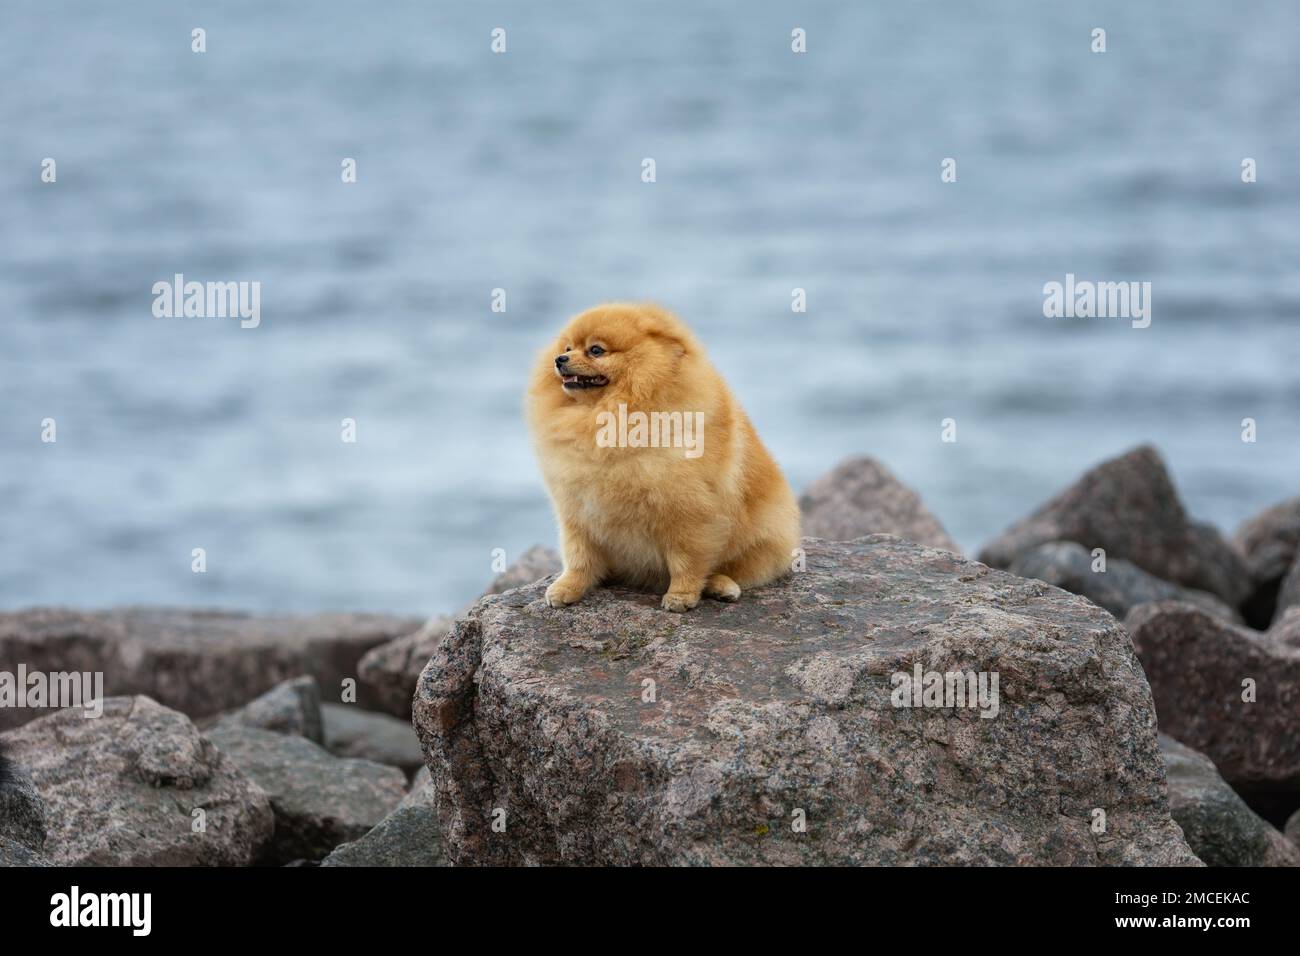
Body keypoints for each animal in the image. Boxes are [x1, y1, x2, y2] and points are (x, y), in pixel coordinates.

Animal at [522, 300, 795, 613]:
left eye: (596, 350)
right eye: (568, 347)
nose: (559, 359)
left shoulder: (687, 513)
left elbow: (686, 561)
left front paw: (681, 596)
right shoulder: (578, 513)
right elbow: (580, 558)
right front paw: (567, 588)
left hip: (764, 536)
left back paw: (720, 585)